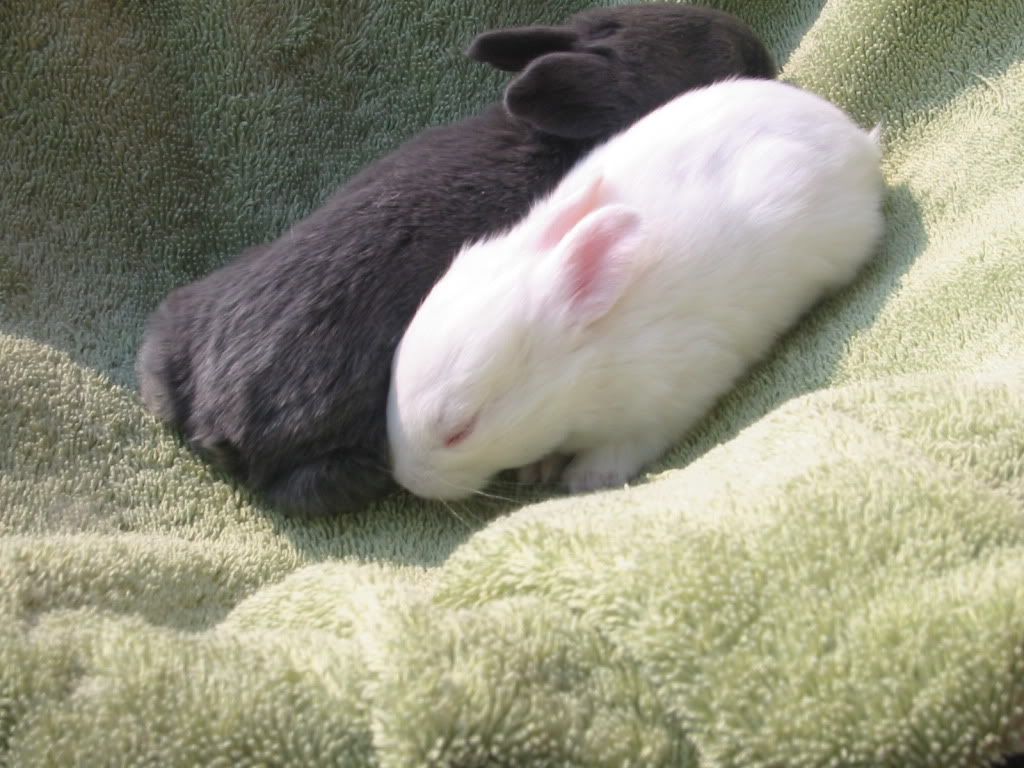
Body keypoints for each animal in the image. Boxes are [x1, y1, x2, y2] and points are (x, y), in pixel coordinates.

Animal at [387, 78, 886, 500]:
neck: (587, 367)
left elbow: (627, 445)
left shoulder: (665, 401)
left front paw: (586, 478)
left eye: (460, 430)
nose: (409, 481)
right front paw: (539, 469)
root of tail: (857, 141)